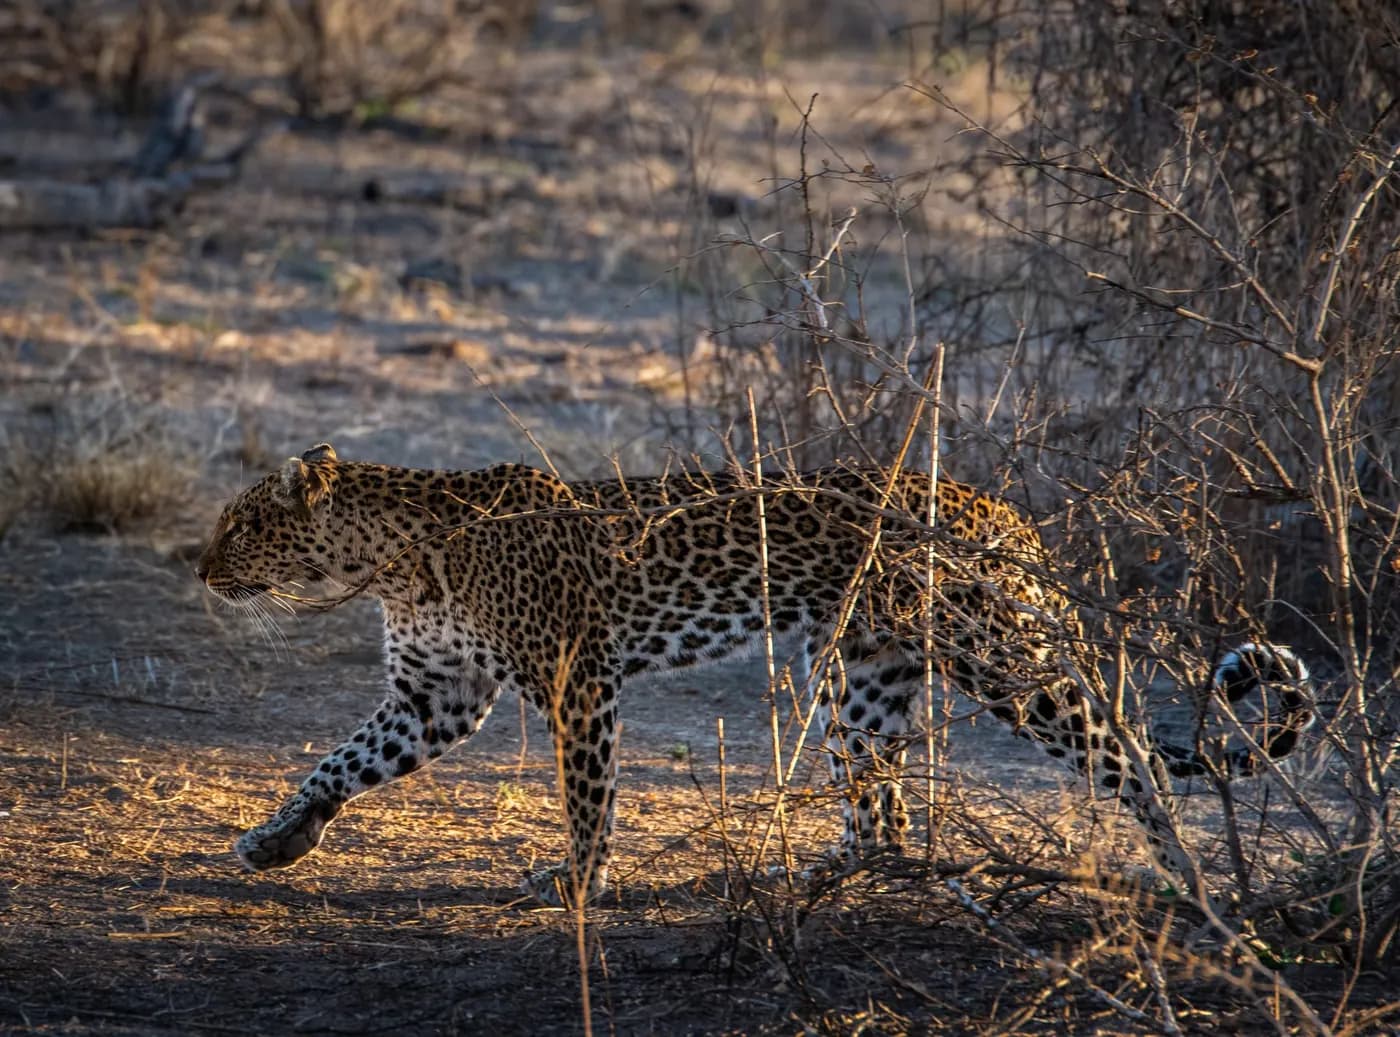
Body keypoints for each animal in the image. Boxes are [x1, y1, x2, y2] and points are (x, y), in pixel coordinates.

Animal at [196, 443, 1314, 904]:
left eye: (241, 525)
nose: (200, 569)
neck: (388, 557)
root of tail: (1001, 511)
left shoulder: (577, 678)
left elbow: (586, 797)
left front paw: (577, 882)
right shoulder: (436, 696)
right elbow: (338, 760)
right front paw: (278, 837)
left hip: (1003, 659)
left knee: (1125, 754)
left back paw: (1191, 877)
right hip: (858, 671)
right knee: (882, 809)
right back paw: (825, 874)